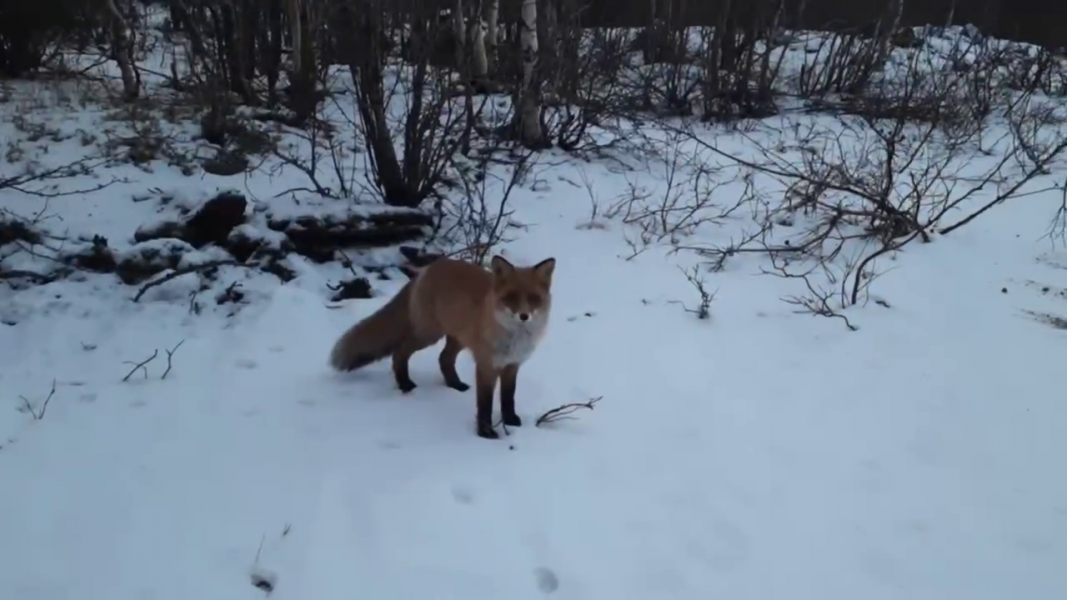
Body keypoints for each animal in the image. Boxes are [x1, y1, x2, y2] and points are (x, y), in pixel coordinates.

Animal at [328, 254, 556, 440]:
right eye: (511, 297)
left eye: (534, 298)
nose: (524, 316)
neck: (514, 339)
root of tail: (428, 268)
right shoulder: (486, 365)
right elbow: (485, 404)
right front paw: (485, 432)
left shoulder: (512, 365)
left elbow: (509, 398)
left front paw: (510, 420)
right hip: (428, 335)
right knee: (399, 352)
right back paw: (405, 384)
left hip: (457, 339)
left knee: (443, 359)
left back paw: (455, 384)